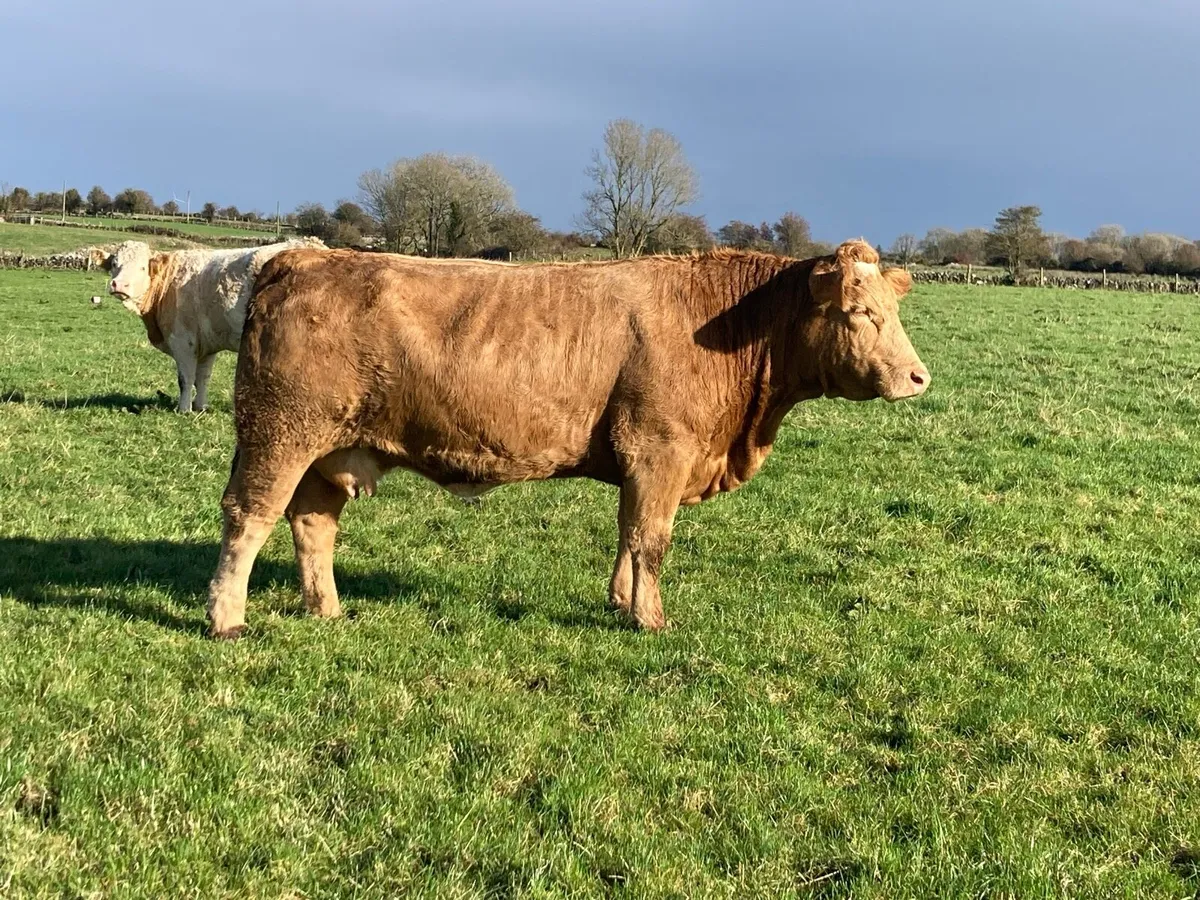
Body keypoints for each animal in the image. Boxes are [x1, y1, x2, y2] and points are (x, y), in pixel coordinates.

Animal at [93, 238, 325, 413]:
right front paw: (200, 407)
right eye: (114, 264)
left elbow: (185, 378)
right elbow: (202, 378)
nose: (119, 285)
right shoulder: (208, 343)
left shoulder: (183, 341)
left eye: (142, 267)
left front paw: (184, 409)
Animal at [206, 240, 930, 639]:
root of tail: (300, 257)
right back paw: (226, 619)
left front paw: (618, 601)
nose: (918, 377)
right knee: (250, 517)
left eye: (892, 312)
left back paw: (326, 609)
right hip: (280, 435)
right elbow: (651, 540)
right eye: (859, 312)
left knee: (311, 523)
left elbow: (628, 533)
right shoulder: (660, 451)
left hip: (326, 453)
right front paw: (649, 618)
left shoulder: (642, 463)